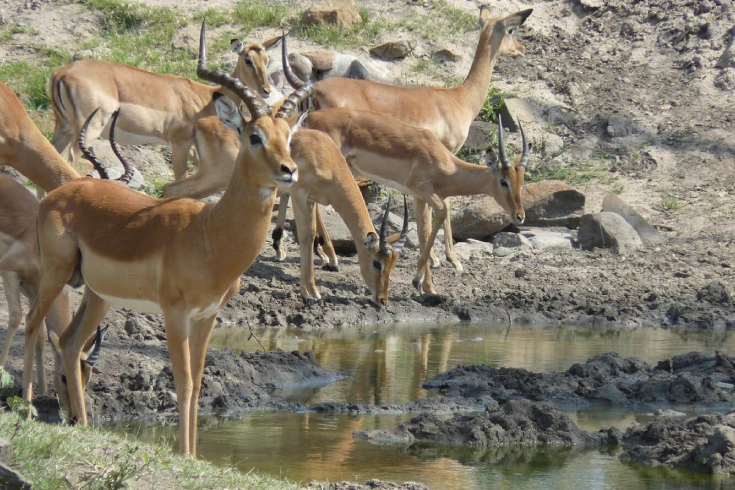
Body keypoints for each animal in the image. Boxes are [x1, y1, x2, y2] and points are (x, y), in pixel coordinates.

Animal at [49, 33, 283, 181]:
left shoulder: (193, 147)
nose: (266, 90)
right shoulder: (179, 143)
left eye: (266, 58)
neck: (205, 97)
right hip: (88, 131)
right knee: (69, 160)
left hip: (64, 130)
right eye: (247, 59)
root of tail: (61, 73)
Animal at [173, 114, 409, 304]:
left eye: (394, 263)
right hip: (215, 177)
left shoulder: (311, 198)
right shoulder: (300, 194)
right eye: (377, 263)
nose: (382, 300)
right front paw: (311, 291)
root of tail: (200, 123)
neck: (324, 153)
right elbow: (306, 235)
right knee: (174, 190)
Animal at [281, 6, 533, 271]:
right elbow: (437, 210)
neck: (458, 98)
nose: (521, 49)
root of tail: (314, 90)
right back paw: (330, 257)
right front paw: (447, 260)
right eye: (511, 29)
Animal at [301, 108, 528, 294]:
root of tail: (311, 117)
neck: (445, 164)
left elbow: (423, 232)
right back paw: (331, 259)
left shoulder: (420, 198)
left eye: (521, 180)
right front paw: (419, 280)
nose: (520, 216)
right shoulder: (423, 191)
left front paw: (428, 287)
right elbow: (442, 212)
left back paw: (327, 258)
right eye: (504, 181)